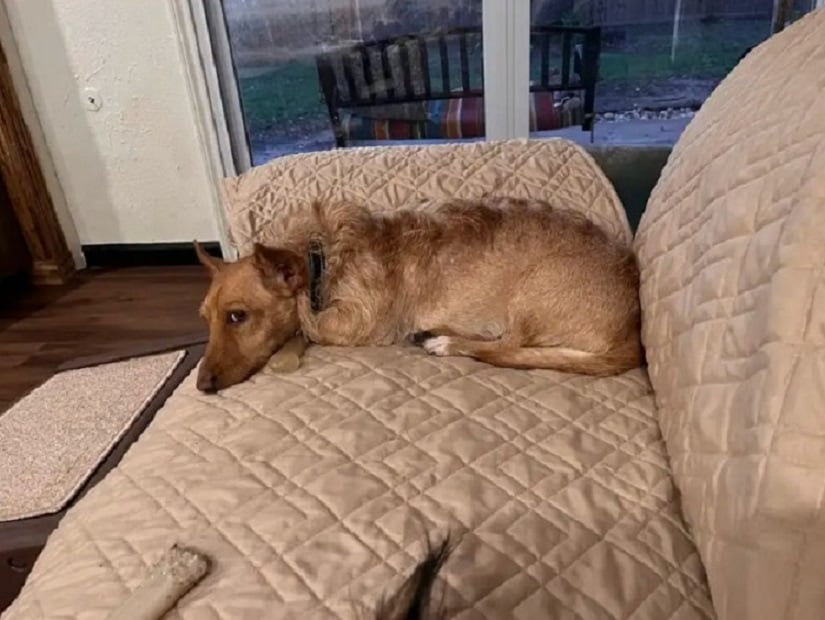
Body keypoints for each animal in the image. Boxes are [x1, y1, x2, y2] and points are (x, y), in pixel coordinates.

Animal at [195, 199, 644, 392]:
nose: (199, 385)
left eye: (237, 316)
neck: (322, 256)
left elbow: (310, 326)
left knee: (505, 347)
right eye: (206, 318)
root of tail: (631, 332)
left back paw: (444, 341)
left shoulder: (350, 325)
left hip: (532, 290)